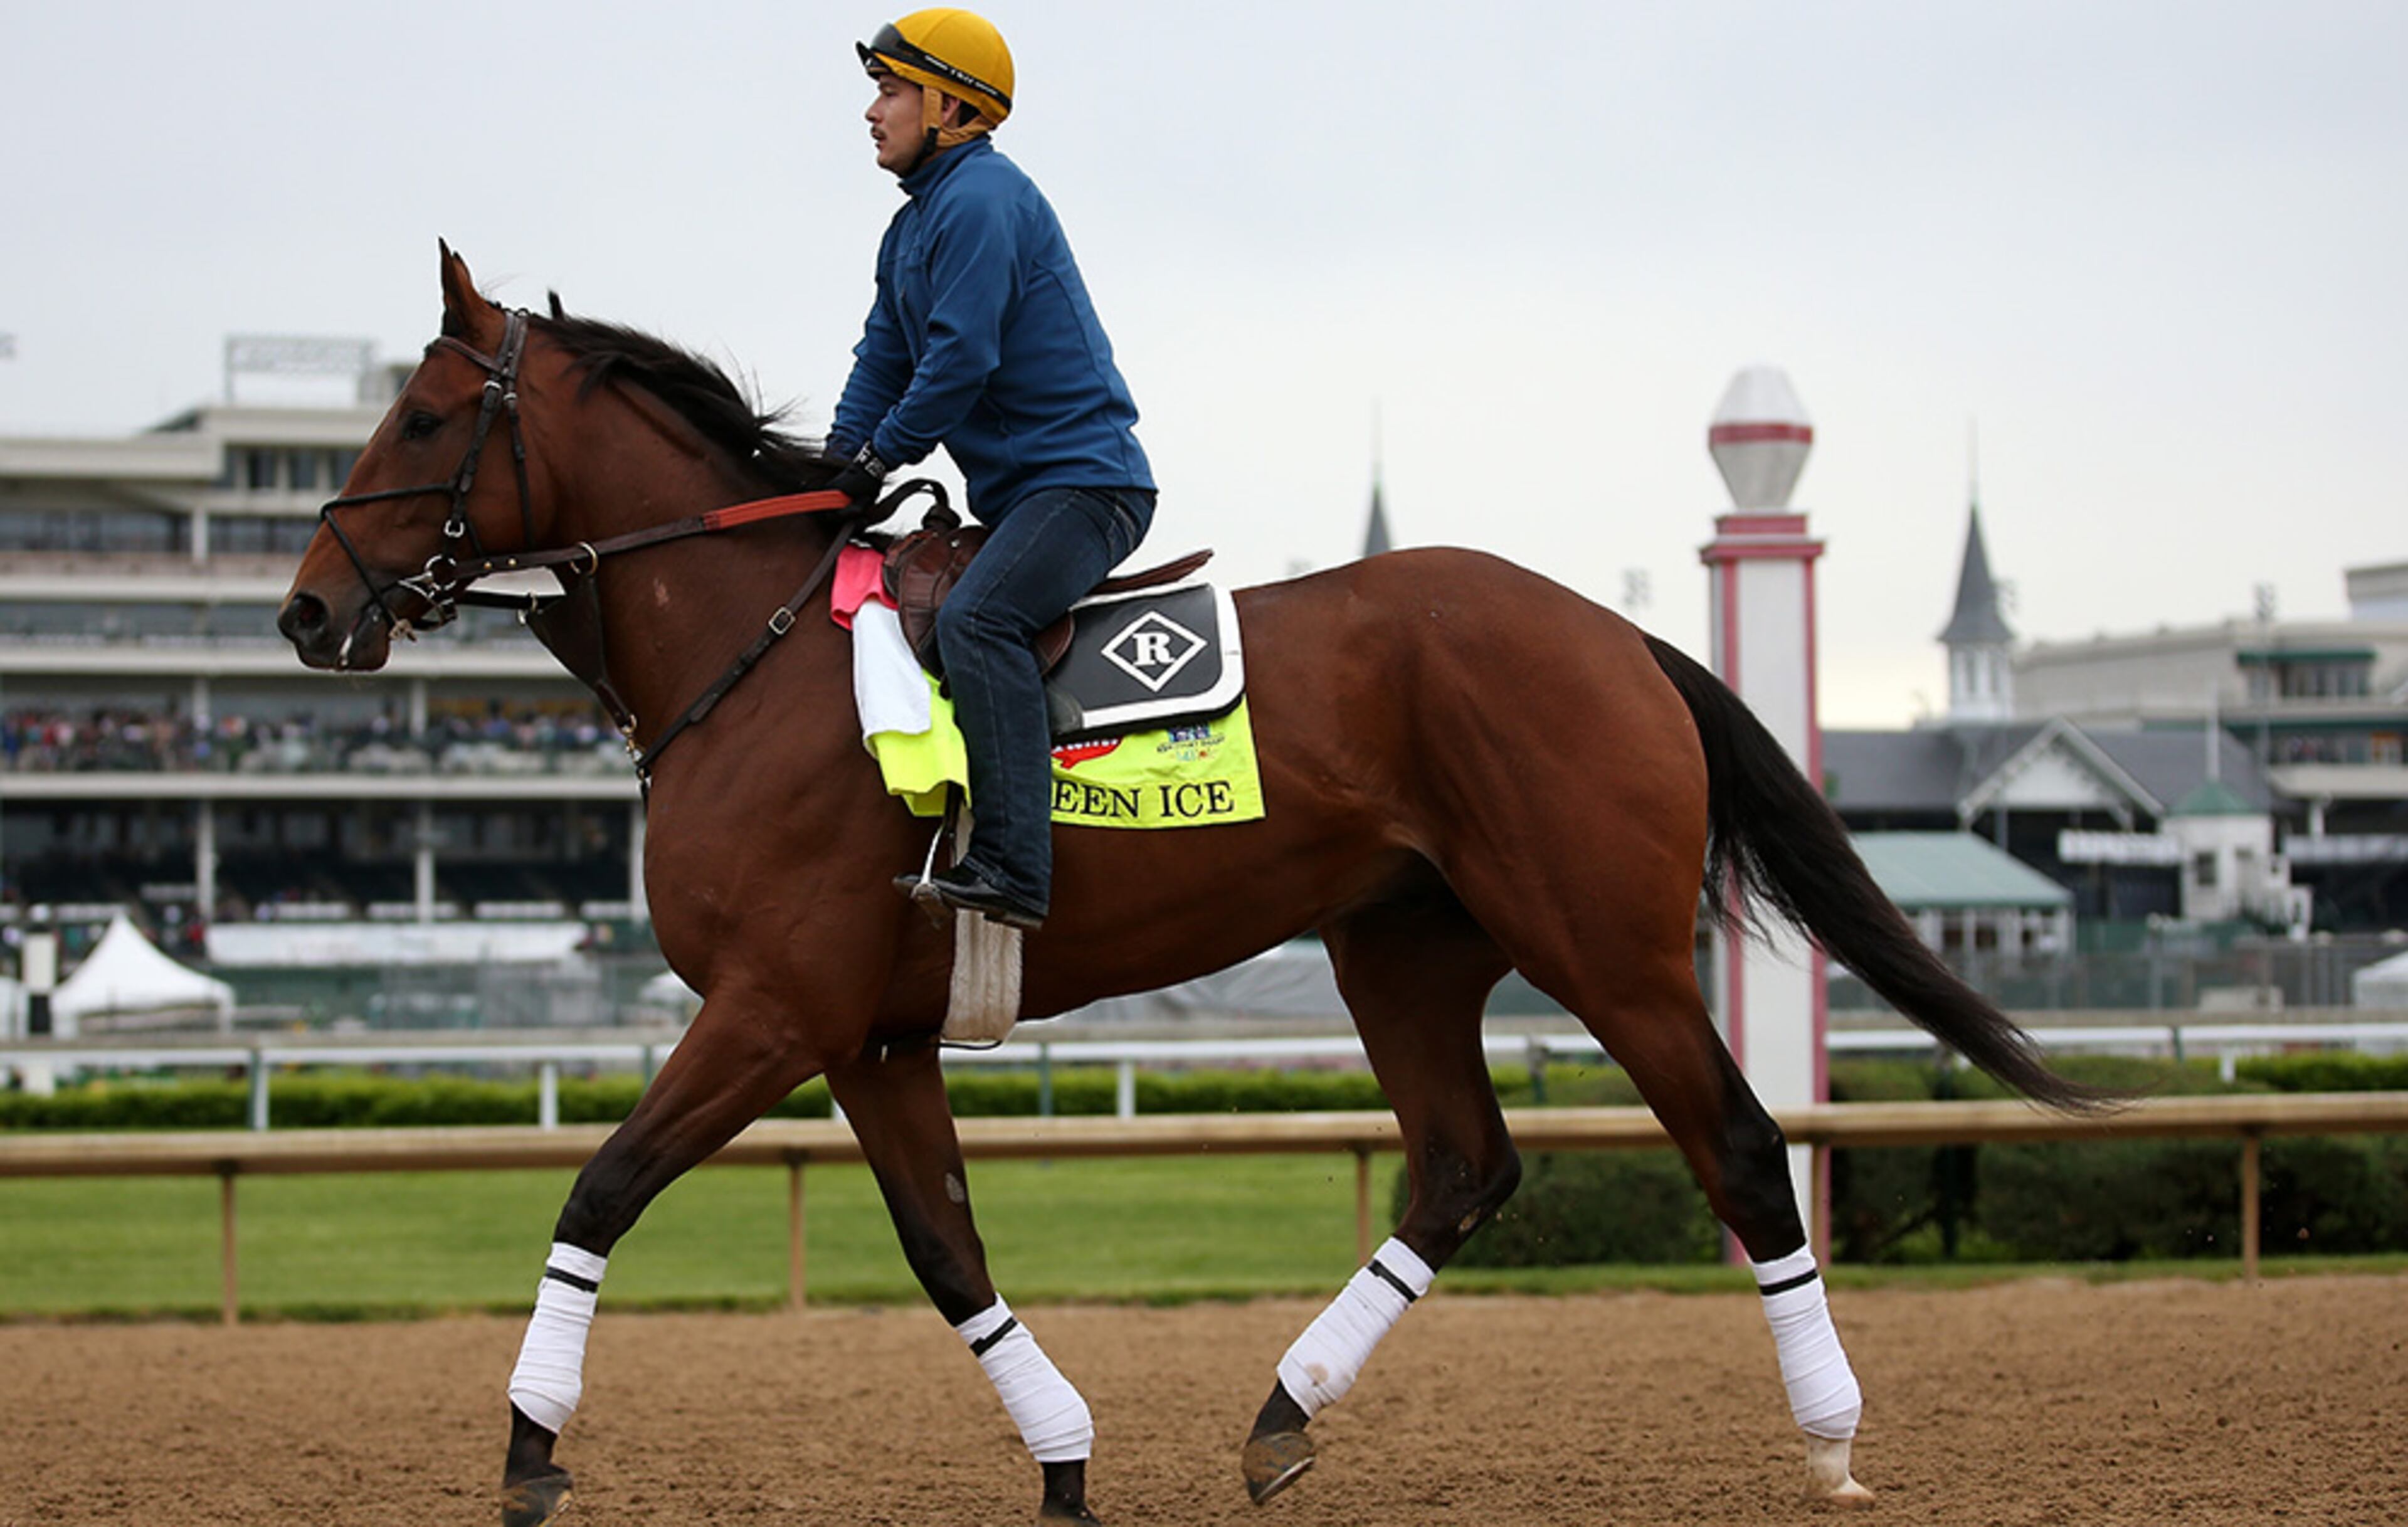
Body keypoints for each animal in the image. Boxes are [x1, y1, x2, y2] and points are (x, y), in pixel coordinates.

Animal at [279, 246, 2095, 1527]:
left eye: (423, 417)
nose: (306, 609)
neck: (764, 649)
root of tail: (1616, 631)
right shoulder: (868, 1037)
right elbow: (945, 1248)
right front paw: (1068, 1452)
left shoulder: (772, 1005)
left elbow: (598, 1190)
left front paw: (529, 1443)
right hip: (1401, 949)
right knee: (1463, 1163)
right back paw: (1284, 1413)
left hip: (1604, 943)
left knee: (1733, 1140)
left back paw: (1832, 1436)